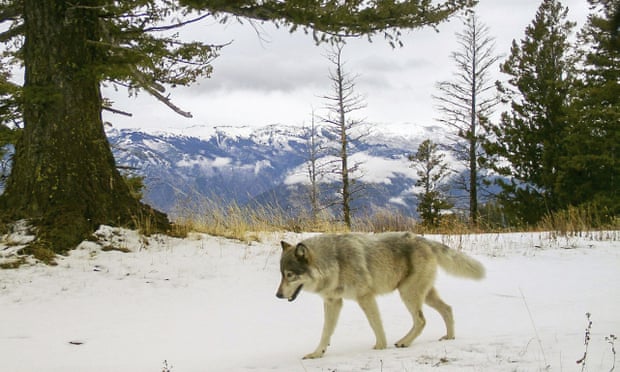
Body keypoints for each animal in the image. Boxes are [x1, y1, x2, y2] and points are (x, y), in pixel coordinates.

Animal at [274, 231, 484, 358]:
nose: (277, 295)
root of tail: (423, 239)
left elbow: (376, 325)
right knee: (447, 309)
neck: (335, 263)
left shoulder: (365, 297)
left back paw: (404, 342)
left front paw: (380, 348)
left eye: (290, 275)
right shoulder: (333, 302)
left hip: (408, 294)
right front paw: (317, 354)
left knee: (421, 320)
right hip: (424, 295)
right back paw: (449, 337)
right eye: (281, 275)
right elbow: (325, 332)